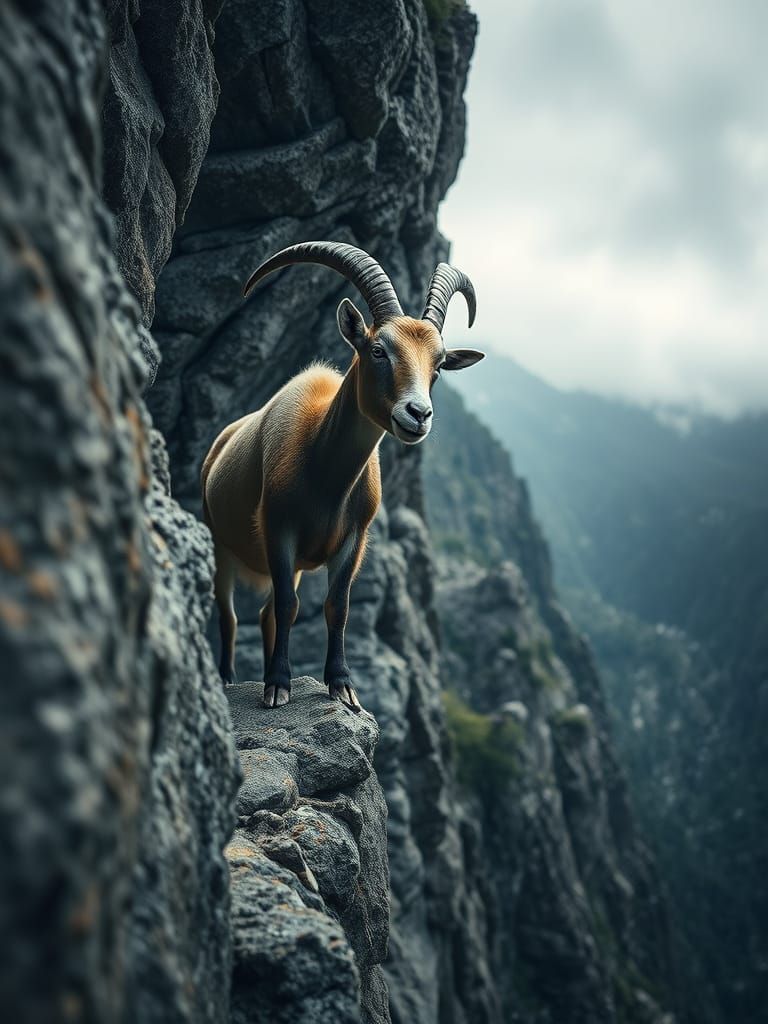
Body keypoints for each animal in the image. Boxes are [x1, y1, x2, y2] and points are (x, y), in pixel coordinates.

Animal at [202, 241, 484, 710]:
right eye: (378, 350)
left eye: (439, 365)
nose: (418, 414)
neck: (323, 471)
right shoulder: (278, 528)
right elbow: (290, 605)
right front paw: (278, 685)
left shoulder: (354, 538)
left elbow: (337, 606)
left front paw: (342, 685)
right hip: (220, 543)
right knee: (231, 612)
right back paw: (226, 678)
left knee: (265, 614)